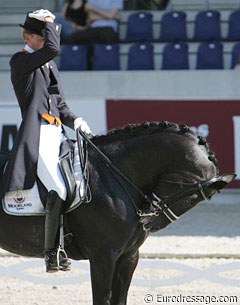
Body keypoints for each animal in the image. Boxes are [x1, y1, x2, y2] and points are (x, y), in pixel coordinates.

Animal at [0, 120, 234, 304]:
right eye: (191, 196)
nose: (150, 222)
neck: (114, 175)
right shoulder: (103, 257)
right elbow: (102, 299)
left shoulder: (129, 255)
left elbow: (119, 299)